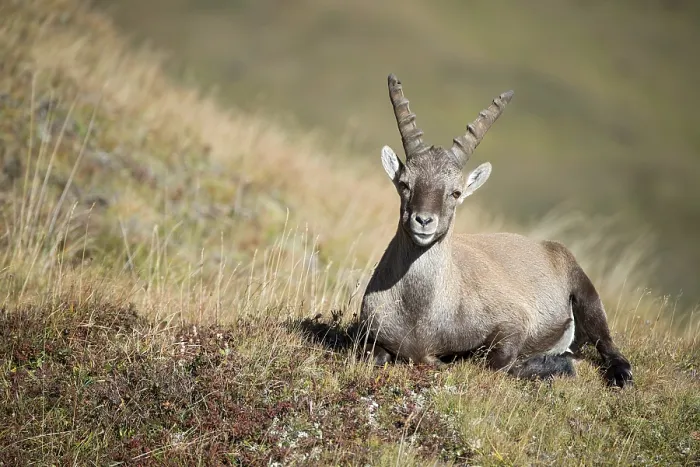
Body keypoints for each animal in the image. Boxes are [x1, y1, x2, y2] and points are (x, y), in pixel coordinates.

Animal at [359, 74, 633, 388]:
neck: (419, 317)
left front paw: (551, 365)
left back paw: (617, 374)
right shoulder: (370, 335)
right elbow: (376, 356)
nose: (424, 221)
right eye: (405, 184)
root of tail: (548, 246)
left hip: (585, 293)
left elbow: (495, 363)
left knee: (606, 341)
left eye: (455, 192)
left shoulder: (514, 321)